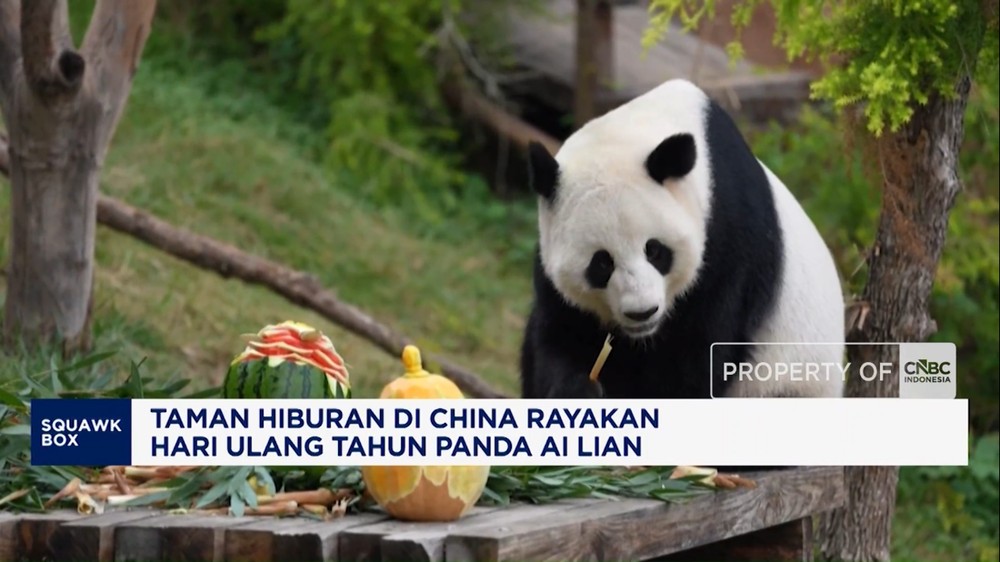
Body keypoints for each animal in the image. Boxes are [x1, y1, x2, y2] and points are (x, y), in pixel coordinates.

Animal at [519, 78, 846, 406]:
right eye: (601, 263)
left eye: (654, 250)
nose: (642, 312)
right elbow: (557, 335)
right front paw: (580, 390)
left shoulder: (727, 249)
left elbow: (695, 362)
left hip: (790, 376)